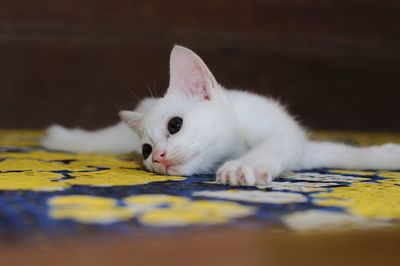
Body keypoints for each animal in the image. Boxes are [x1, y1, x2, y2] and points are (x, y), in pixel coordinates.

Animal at [41, 44, 400, 186]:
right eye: (144, 150)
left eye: (175, 125)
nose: (157, 156)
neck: (237, 144)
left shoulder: (294, 140)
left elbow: (342, 152)